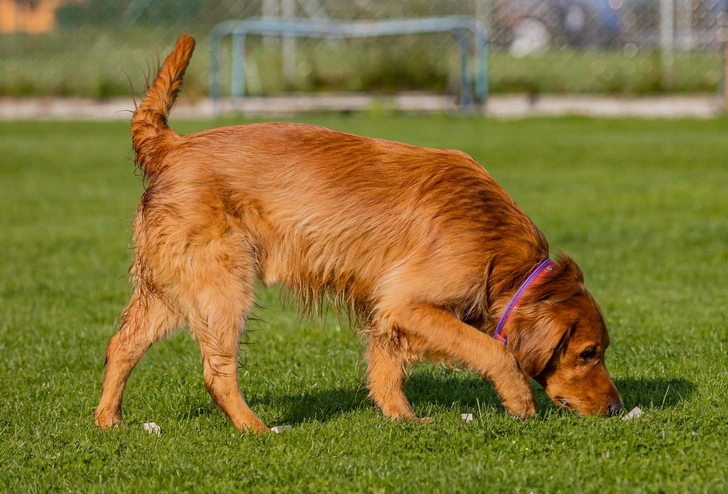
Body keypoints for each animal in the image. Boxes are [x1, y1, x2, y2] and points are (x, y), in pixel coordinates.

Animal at [94, 34, 624, 432]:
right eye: (588, 353)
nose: (617, 407)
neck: (499, 250)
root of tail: (172, 146)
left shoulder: (388, 309)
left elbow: (388, 370)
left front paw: (403, 420)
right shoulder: (408, 303)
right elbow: (493, 351)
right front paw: (518, 400)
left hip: (173, 289)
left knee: (122, 344)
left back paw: (108, 421)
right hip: (223, 286)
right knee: (216, 373)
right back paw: (257, 429)